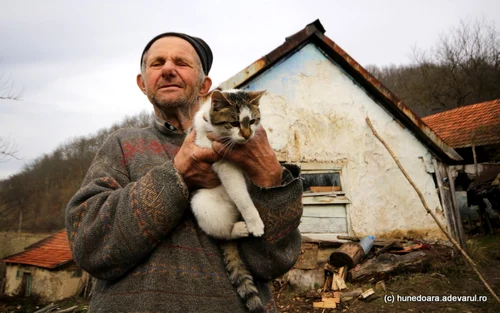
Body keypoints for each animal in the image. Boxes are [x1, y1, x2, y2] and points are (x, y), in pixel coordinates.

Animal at [191, 88, 268, 312]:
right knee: (222, 233)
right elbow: (242, 198)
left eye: (252, 121)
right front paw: (255, 222)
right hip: (201, 203)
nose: (247, 135)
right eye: (233, 123)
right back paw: (240, 228)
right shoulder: (222, 162)